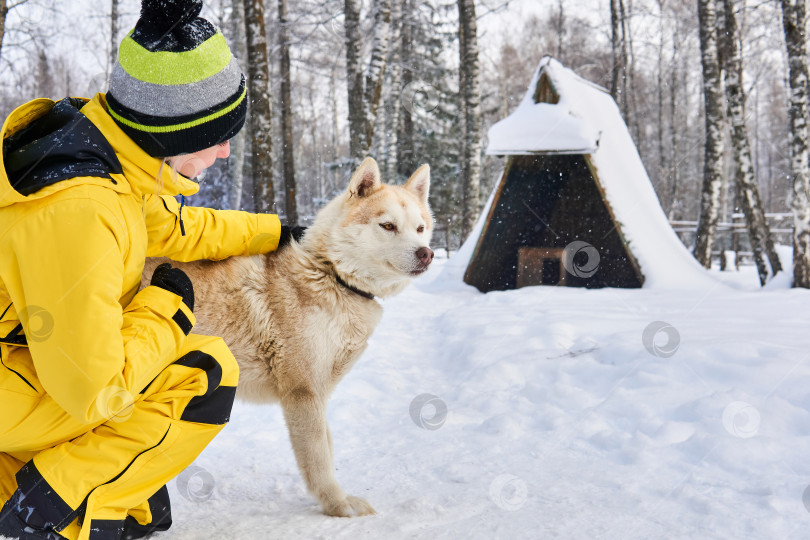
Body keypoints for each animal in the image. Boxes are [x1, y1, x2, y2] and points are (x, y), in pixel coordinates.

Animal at [144, 158, 436, 516]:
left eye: (419, 228)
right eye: (388, 226)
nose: (426, 253)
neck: (333, 276)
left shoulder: (320, 393)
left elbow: (328, 448)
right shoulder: (302, 393)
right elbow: (319, 459)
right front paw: (338, 506)